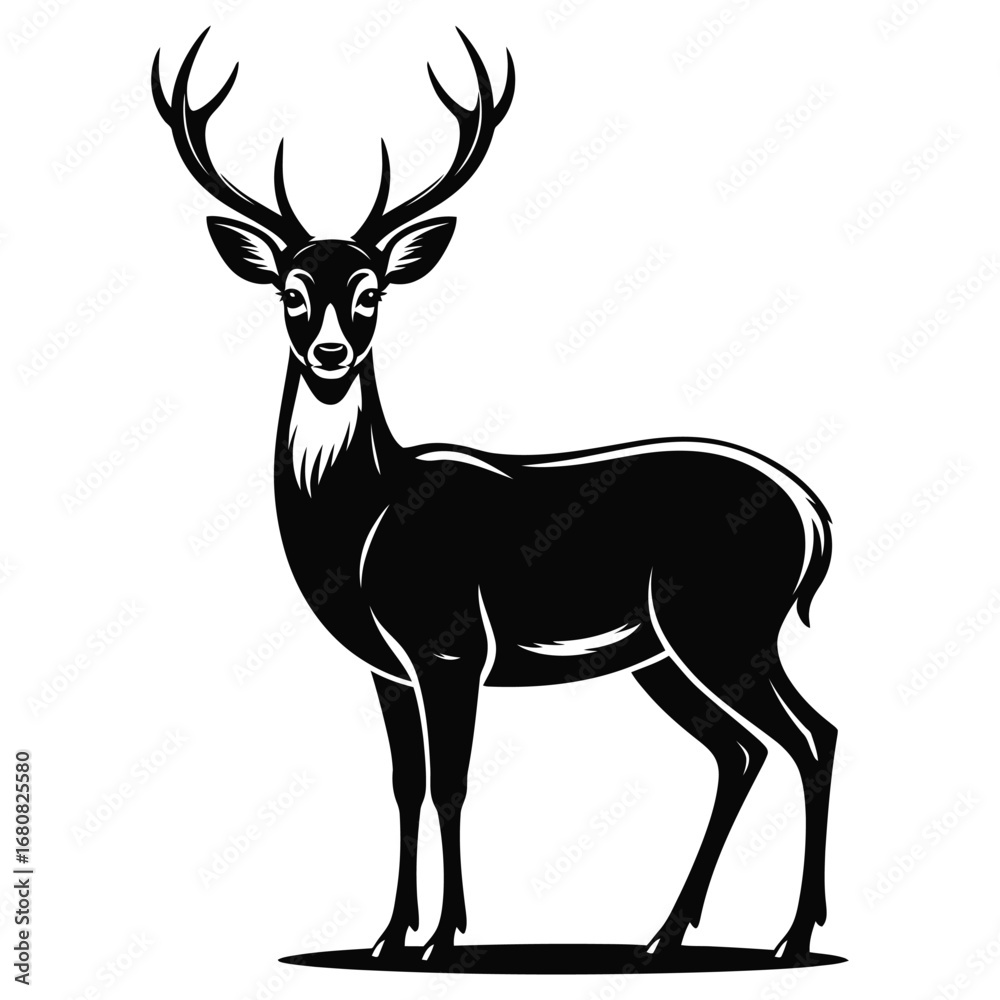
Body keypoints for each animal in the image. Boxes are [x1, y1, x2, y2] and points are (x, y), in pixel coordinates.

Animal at [152, 27, 837, 965]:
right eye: (291, 291)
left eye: (370, 293)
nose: (330, 354)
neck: (366, 522)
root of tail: (813, 515)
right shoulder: (388, 668)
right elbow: (404, 784)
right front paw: (386, 937)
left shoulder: (450, 647)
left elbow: (453, 785)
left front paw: (445, 938)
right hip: (665, 652)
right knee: (740, 752)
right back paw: (663, 936)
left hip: (721, 621)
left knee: (810, 737)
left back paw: (791, 938)